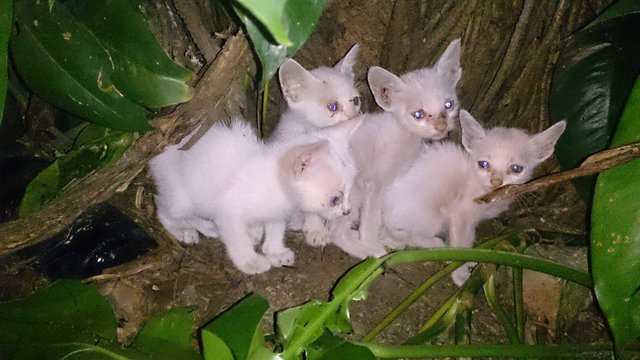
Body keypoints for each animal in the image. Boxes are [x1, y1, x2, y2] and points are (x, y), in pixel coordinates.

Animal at [150, 117, 360, 272]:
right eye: (335, 199)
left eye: (350, 191)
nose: (347, 211)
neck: (276, 187)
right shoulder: (228, 212)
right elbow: (237, 238)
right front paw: (250, 261)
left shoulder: (277, 212)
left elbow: (275, 228)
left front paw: (274, 251)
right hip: (182, 199)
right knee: (163, 207)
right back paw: (186, 230)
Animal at [328, 38, 462, 258]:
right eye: (418, 114)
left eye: (449, 105)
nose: (442, 126)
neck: (404, 136)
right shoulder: (374, 182)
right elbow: (371, 218)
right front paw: (371, 242)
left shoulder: (389, 181)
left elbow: (384, 213)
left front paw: (389, 236)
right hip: (351, 190)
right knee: (336, 233)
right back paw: (368, 252)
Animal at [380, 111, 564, 286]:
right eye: (484, 164)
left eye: (516, 168)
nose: (496, 181)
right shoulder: (460, 215)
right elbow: (459, 243)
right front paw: (458, 271)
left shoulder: (471, 221)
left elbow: (468, 239)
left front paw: (468, 259)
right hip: (431, 217)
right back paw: (434, 244)